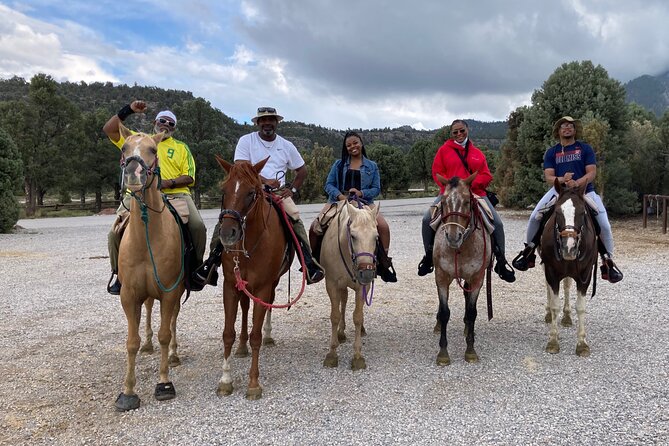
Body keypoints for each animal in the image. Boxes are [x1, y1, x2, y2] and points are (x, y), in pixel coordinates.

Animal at [214, 155, 292, 398]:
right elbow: (227, 333)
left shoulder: (263, 287)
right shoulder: (230, 286)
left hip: (272, 283)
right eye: (224, 190)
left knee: (268, 307)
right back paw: (241, 347)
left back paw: (268, 335)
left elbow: (256, 335)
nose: (228, 233)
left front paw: (253, 383)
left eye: (251, 193)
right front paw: (225, 380)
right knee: (245, 307)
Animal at [318, 200, 376, 372]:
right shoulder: (331, 284)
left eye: (376, 237)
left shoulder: (362, 287)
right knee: (342, 302)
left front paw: (357, 356)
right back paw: (341, 333)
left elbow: (358, 316)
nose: (367, 273)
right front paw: (332, 354)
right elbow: (335, 316)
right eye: (353, 236)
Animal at [430, 173, 494, 366]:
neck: (461, 248)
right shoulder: (441, 277)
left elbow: (472, 312)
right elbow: (445, 313)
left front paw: (470, 350)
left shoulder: (477, 278)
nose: (452, 237)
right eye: (444, 202)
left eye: (467, 201)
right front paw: (443, 353)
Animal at [540, 179, 596, 358]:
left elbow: (581, 307)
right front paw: (553, 341)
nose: (568, 248)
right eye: (557, 211)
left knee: (566, 285)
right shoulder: (551, 271)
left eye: (582, 212)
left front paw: (582, 344)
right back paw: (549, 314)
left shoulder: (585, 275)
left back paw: (566, 316)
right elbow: (555, 304)